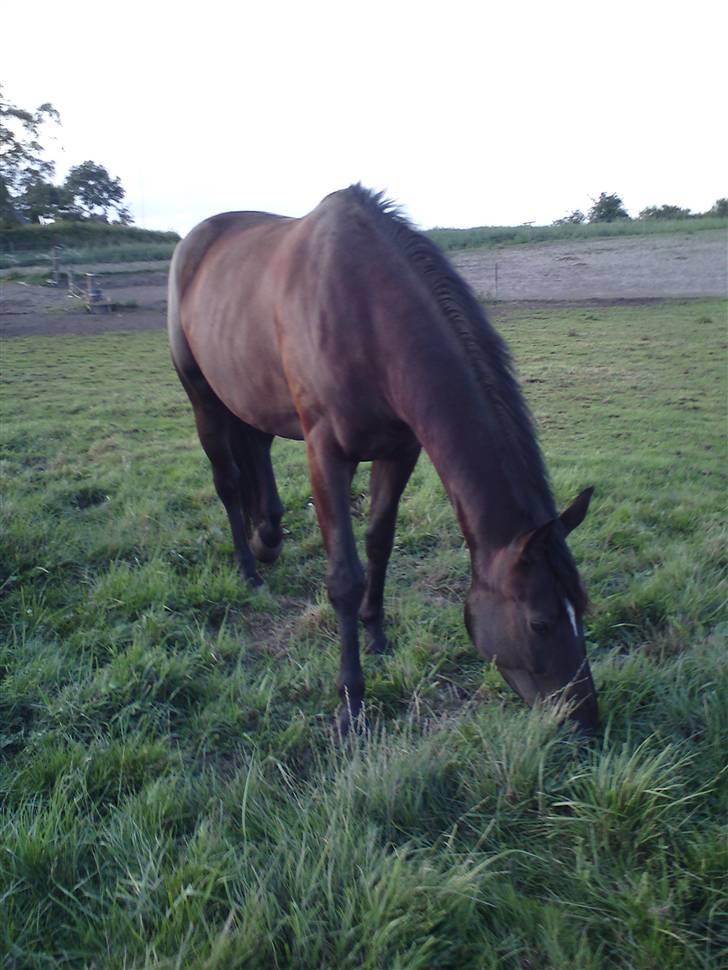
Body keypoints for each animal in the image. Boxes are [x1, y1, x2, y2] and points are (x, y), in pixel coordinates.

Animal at [168, 185, 600, 732]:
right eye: (540, 623)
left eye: (582, 605)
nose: (586, 721)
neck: (365, 313)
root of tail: (194, 240)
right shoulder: (326, 455)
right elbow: (344, 577)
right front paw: (351, 698)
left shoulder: (400, 451)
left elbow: (380, 543)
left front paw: (376, 636)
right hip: (201, 395)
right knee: (226, 480)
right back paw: (249, 569)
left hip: (248, 393)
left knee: (256, 454)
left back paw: (266, 537)